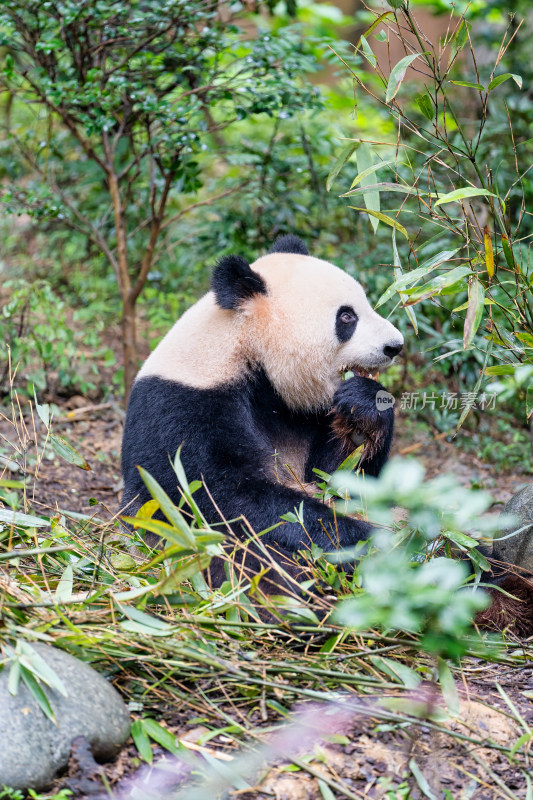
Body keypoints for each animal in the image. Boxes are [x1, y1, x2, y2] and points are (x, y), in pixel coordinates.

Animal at [120, 234, 402, 584]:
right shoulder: (183, 406)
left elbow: (337, 477)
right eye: (347, 317)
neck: (244, 345)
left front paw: (364, 406)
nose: (395, 345)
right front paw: (364, 540)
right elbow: (227, 499)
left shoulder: (306, 412)